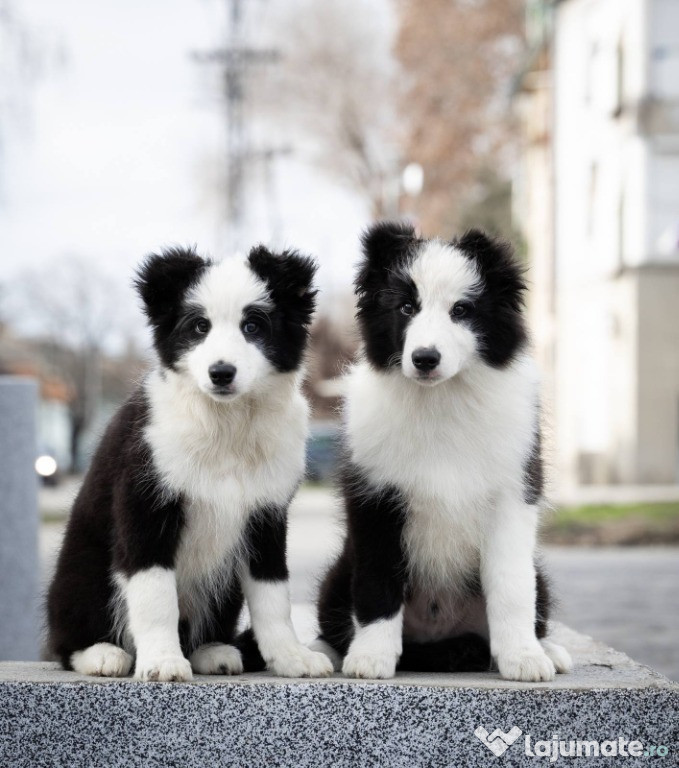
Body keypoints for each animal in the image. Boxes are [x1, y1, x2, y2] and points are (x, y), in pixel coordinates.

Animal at [46, 244, 334, 680]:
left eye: (253, 326)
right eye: (199, 327)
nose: (221, 372)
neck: (226, 424)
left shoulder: (267, 515)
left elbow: (273, 596)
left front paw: (291, 657)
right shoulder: (145, 506)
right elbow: (156, 596)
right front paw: (163, 662)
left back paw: (213, 651)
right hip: (82, 570)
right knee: (67, 635)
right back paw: (101, 654)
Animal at [316, 220, 572, 680]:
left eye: (461, 311)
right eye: (406, 308)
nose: (424, 358)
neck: (441, 401)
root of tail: (439, 638)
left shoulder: (513, 495)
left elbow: (511, 586)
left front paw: (524, 659)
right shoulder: (374, 499)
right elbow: (378, 580)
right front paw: (371, 658)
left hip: (540, 577)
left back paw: (548, 650)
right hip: (336, 577)